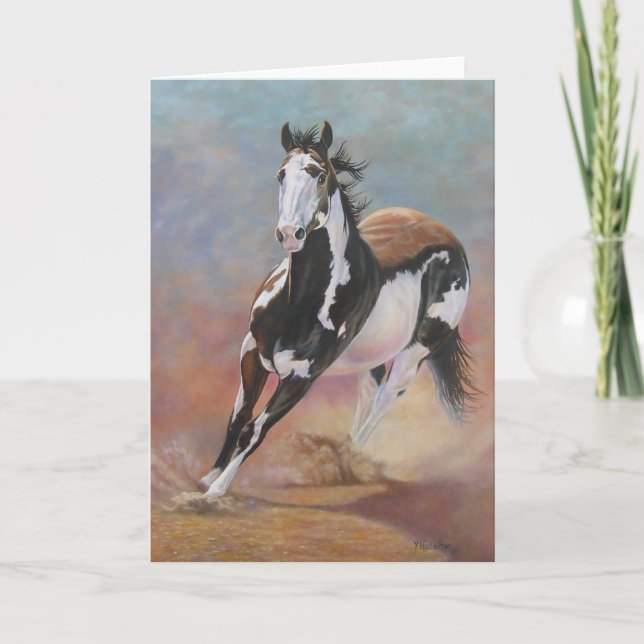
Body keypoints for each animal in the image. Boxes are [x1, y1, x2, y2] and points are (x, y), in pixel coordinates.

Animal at [200, 121, 478, 498]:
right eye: (280, 175)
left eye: (318, 175)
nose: (289, 234)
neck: (298, 305)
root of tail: (450, 239)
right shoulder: (252, 352)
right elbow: (238, 417)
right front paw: (207, 477)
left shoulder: (301, 377)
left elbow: (255, 430)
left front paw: (215, 491)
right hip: (374, 356)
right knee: (367, 397)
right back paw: (345, 457)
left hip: (414, 355)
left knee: (383, 403)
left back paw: (352, 463)